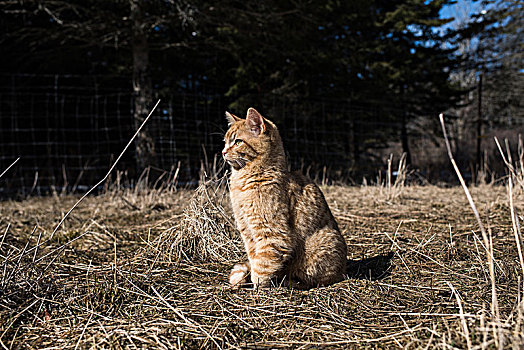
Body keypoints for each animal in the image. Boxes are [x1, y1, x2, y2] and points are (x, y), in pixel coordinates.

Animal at [222, 108, 348, 288]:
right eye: (225, 142)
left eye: (238, 142)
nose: (223, 152)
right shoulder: (248, 232)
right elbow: (254, 259)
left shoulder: (272, 234)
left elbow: (262, 267)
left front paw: (257, 285)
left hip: (326, 240)